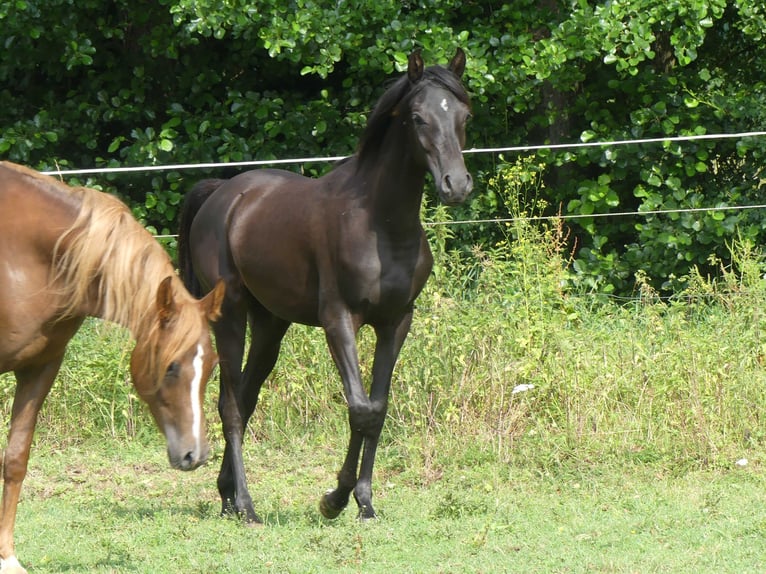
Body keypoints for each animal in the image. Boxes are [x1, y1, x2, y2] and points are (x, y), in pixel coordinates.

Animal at [0, 163, 226, 574]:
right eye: (171, 366)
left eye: (212, 367)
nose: (196, 455)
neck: (26, 257)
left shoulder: (40, 367)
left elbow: (15, 459)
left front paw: (7, 557)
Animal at [178, 49, 474, 524]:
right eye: (418, 117)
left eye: (464, 115)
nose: (456, 186)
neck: (380, 223)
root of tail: (223, 192)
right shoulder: (339, 320)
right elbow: (360, 408)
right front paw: (334, 499)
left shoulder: (396, 322)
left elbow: (378, 408)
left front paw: (365, 503)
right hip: (232, 315)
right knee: (230, 404)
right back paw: (246, 506)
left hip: (271, 324)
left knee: (247, 396)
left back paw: (226, 496)